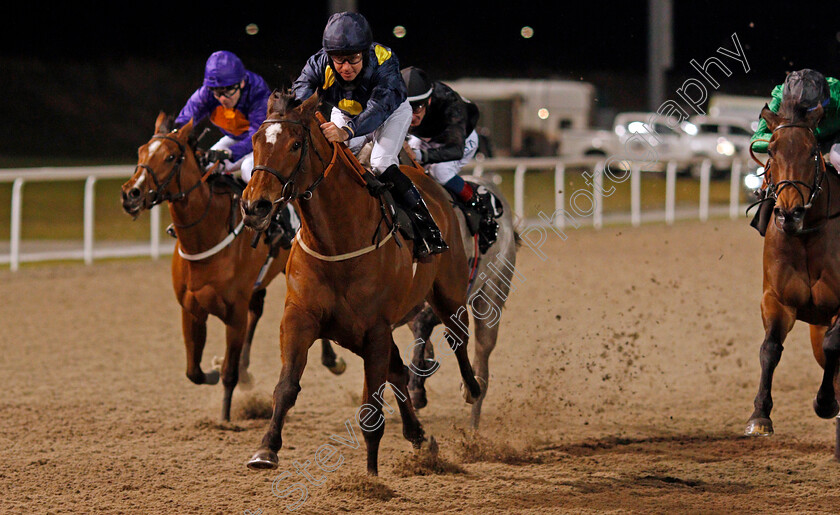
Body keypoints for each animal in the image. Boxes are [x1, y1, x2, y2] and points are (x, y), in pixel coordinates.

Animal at [120, 116, 288, 424]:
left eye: (170, 157)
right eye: (141, 151)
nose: (131, 194)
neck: (205, 235)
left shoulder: (234, 313)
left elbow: (229, 374)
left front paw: (224, 418)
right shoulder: (191, 308)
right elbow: (193, 371)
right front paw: (212, 370)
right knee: (257, 311)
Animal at [240, 92, 482, 476]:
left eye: (295, 145)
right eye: (255, 141)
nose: (254, 206)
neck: (337, 241)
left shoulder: (375, 330)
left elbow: (372, 409)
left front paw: (370, 476)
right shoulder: (301, 318)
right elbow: (287, 386)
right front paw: (266, 448)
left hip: (448, 290)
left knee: (456, 335)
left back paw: (471, 389)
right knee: (399, 368)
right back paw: (418, 434)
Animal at [744, 103, 840, 438]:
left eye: (813, 151)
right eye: (771, 150)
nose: (789, 213)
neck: (807, 236)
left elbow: (833, 345)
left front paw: (825, 403)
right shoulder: (777, 299)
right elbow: (770, 348)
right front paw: (760, 415)